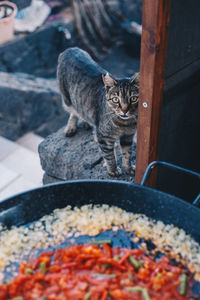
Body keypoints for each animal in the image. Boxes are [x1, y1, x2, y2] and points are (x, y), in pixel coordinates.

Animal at [57, 48, 139, 177]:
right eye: (116, 99)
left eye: (133, 98)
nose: (125, 110)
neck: (124, 124)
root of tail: (70, 49)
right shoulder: (104, 137)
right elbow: (109, 156)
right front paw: (113, 170)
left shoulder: (128, 136)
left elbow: (127, 154)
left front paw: (129, 168)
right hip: (67, 99)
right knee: (74, 112)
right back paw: (71, 127)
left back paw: (86, 122)